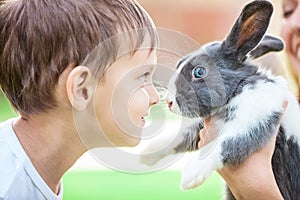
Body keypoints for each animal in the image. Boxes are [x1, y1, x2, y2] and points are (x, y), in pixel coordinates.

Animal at [141, 0, 300, 199]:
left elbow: (225, 144)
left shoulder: (254, 122)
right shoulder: (202, 128)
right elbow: (183, 135)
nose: (169, 102)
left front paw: (191, 175)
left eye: (199, 72)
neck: (238, 89)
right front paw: (149, 152)